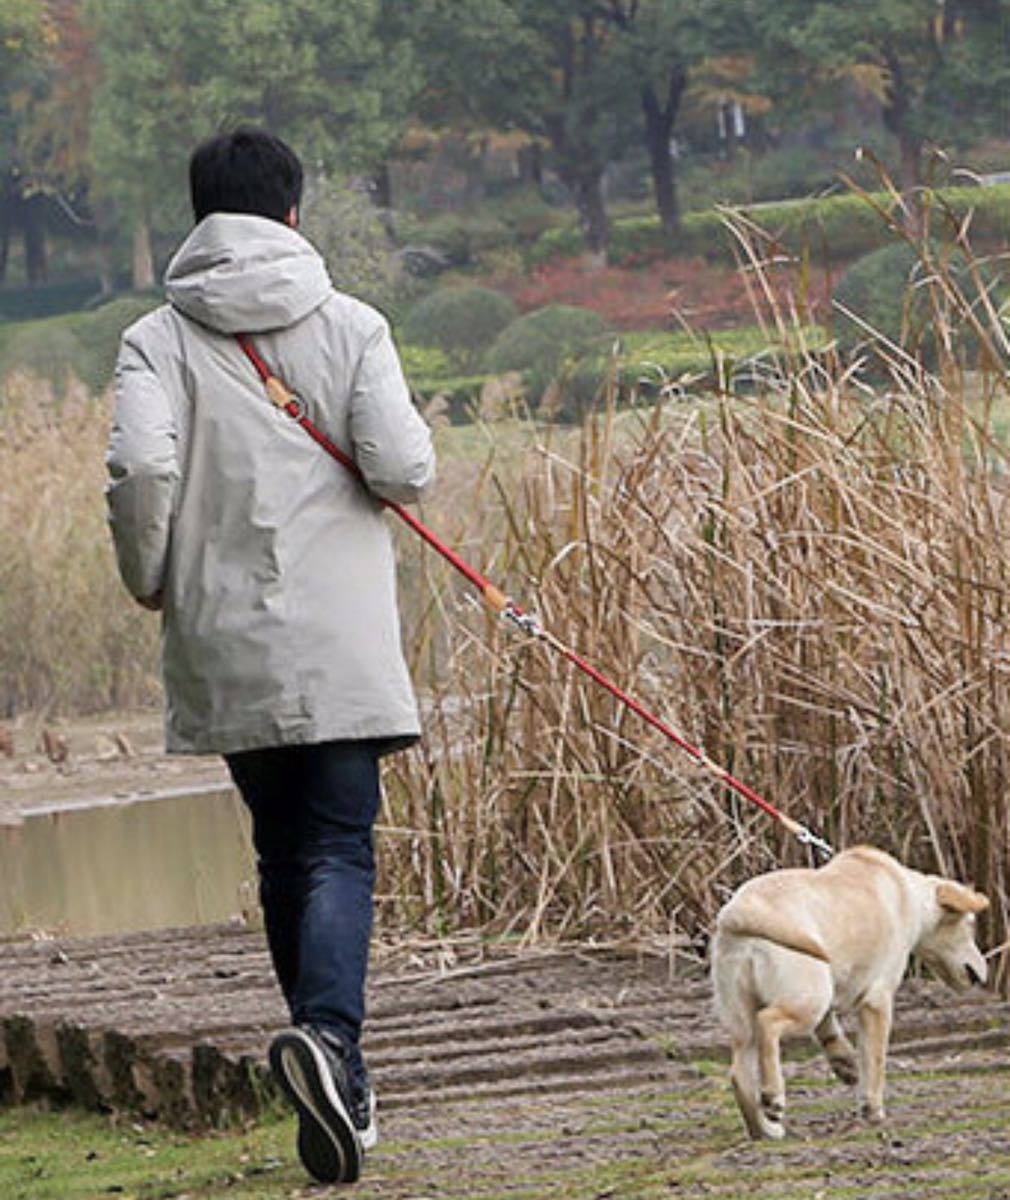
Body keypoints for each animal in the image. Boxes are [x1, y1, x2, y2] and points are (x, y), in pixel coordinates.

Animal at [710, 849, 983, 1137]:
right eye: (971, 926)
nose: (982, 975)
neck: (910, 894)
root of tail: (738, 912)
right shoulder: (878, 1000)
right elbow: (875, 1060)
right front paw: (873, 1109)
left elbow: (830, 1031)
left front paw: (845, 1062)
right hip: (808, 999)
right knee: (768, 1023)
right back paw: (774, 1096)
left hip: (745, 1015)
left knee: (739, 1073)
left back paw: (764, 1129)